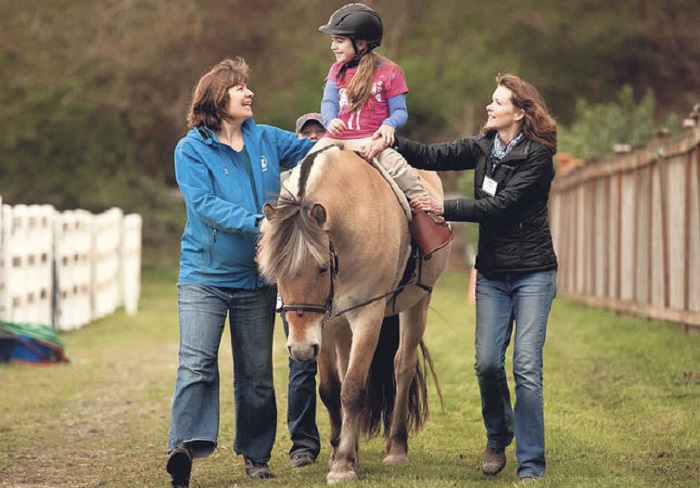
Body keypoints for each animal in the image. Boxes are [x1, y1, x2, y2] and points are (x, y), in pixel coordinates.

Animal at [256, 145, 448, 484]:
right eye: (276, 272)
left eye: (321, 268)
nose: (300, 349)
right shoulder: (324, 325)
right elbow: (332, 389)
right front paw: (340, 453)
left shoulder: (367, 314)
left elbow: (353, 389)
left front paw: (343, 465)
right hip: (341, 326)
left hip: (417, 305)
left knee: (403, 366)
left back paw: (396, 448)